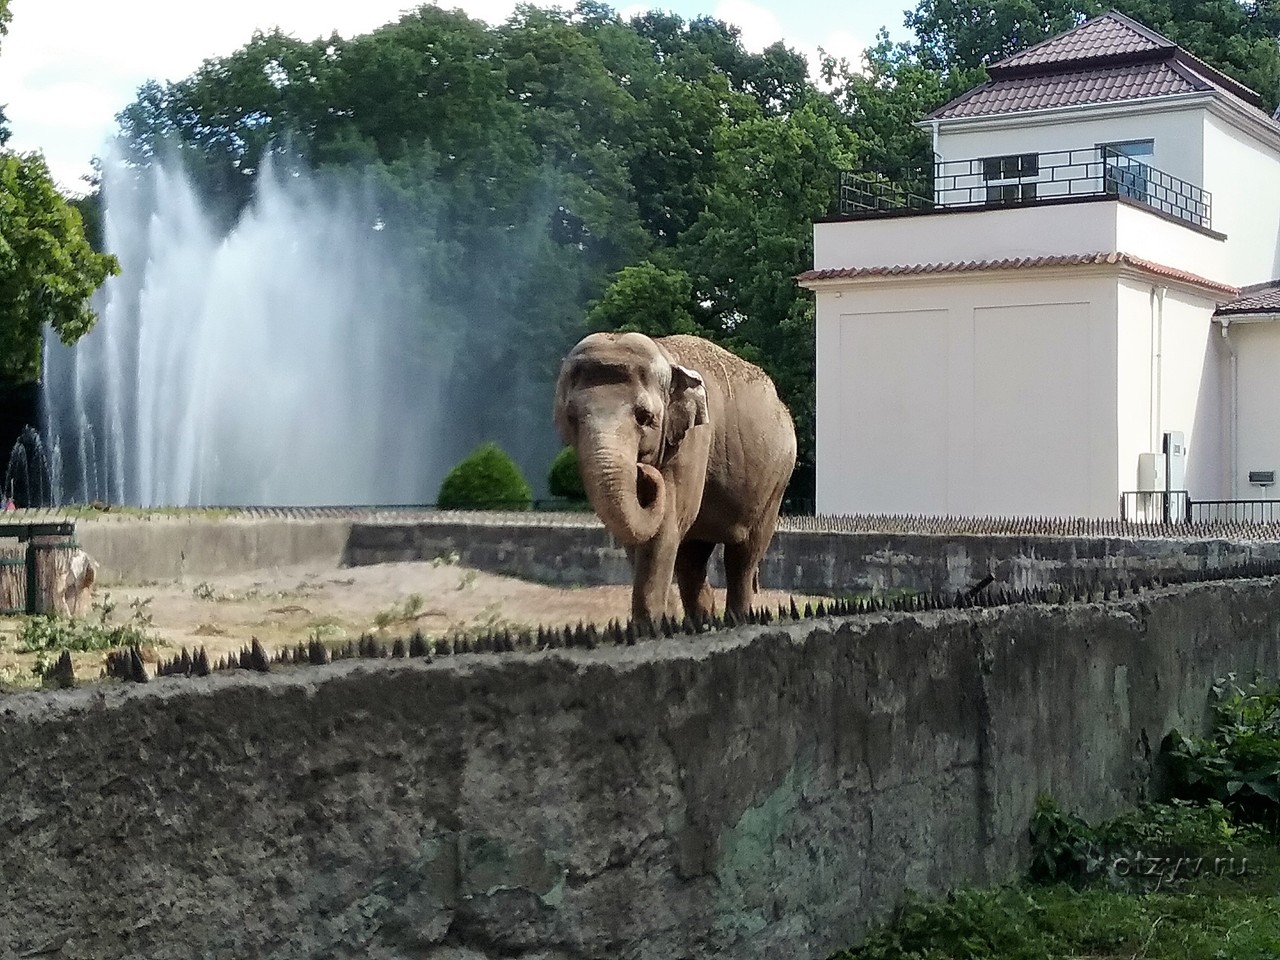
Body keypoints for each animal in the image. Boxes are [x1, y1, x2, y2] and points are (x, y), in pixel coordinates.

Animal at [555, 335, 793, 627]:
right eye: (571, 418)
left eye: (645, 417)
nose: (643, 471)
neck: (664, 354)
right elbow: (641, 537)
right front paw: (663, 622)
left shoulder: (693, 441)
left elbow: (664, 530)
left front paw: (648, 628)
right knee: (693, 557)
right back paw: (702, 623)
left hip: (776, 483)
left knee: (743, 556)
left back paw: (735, 620)